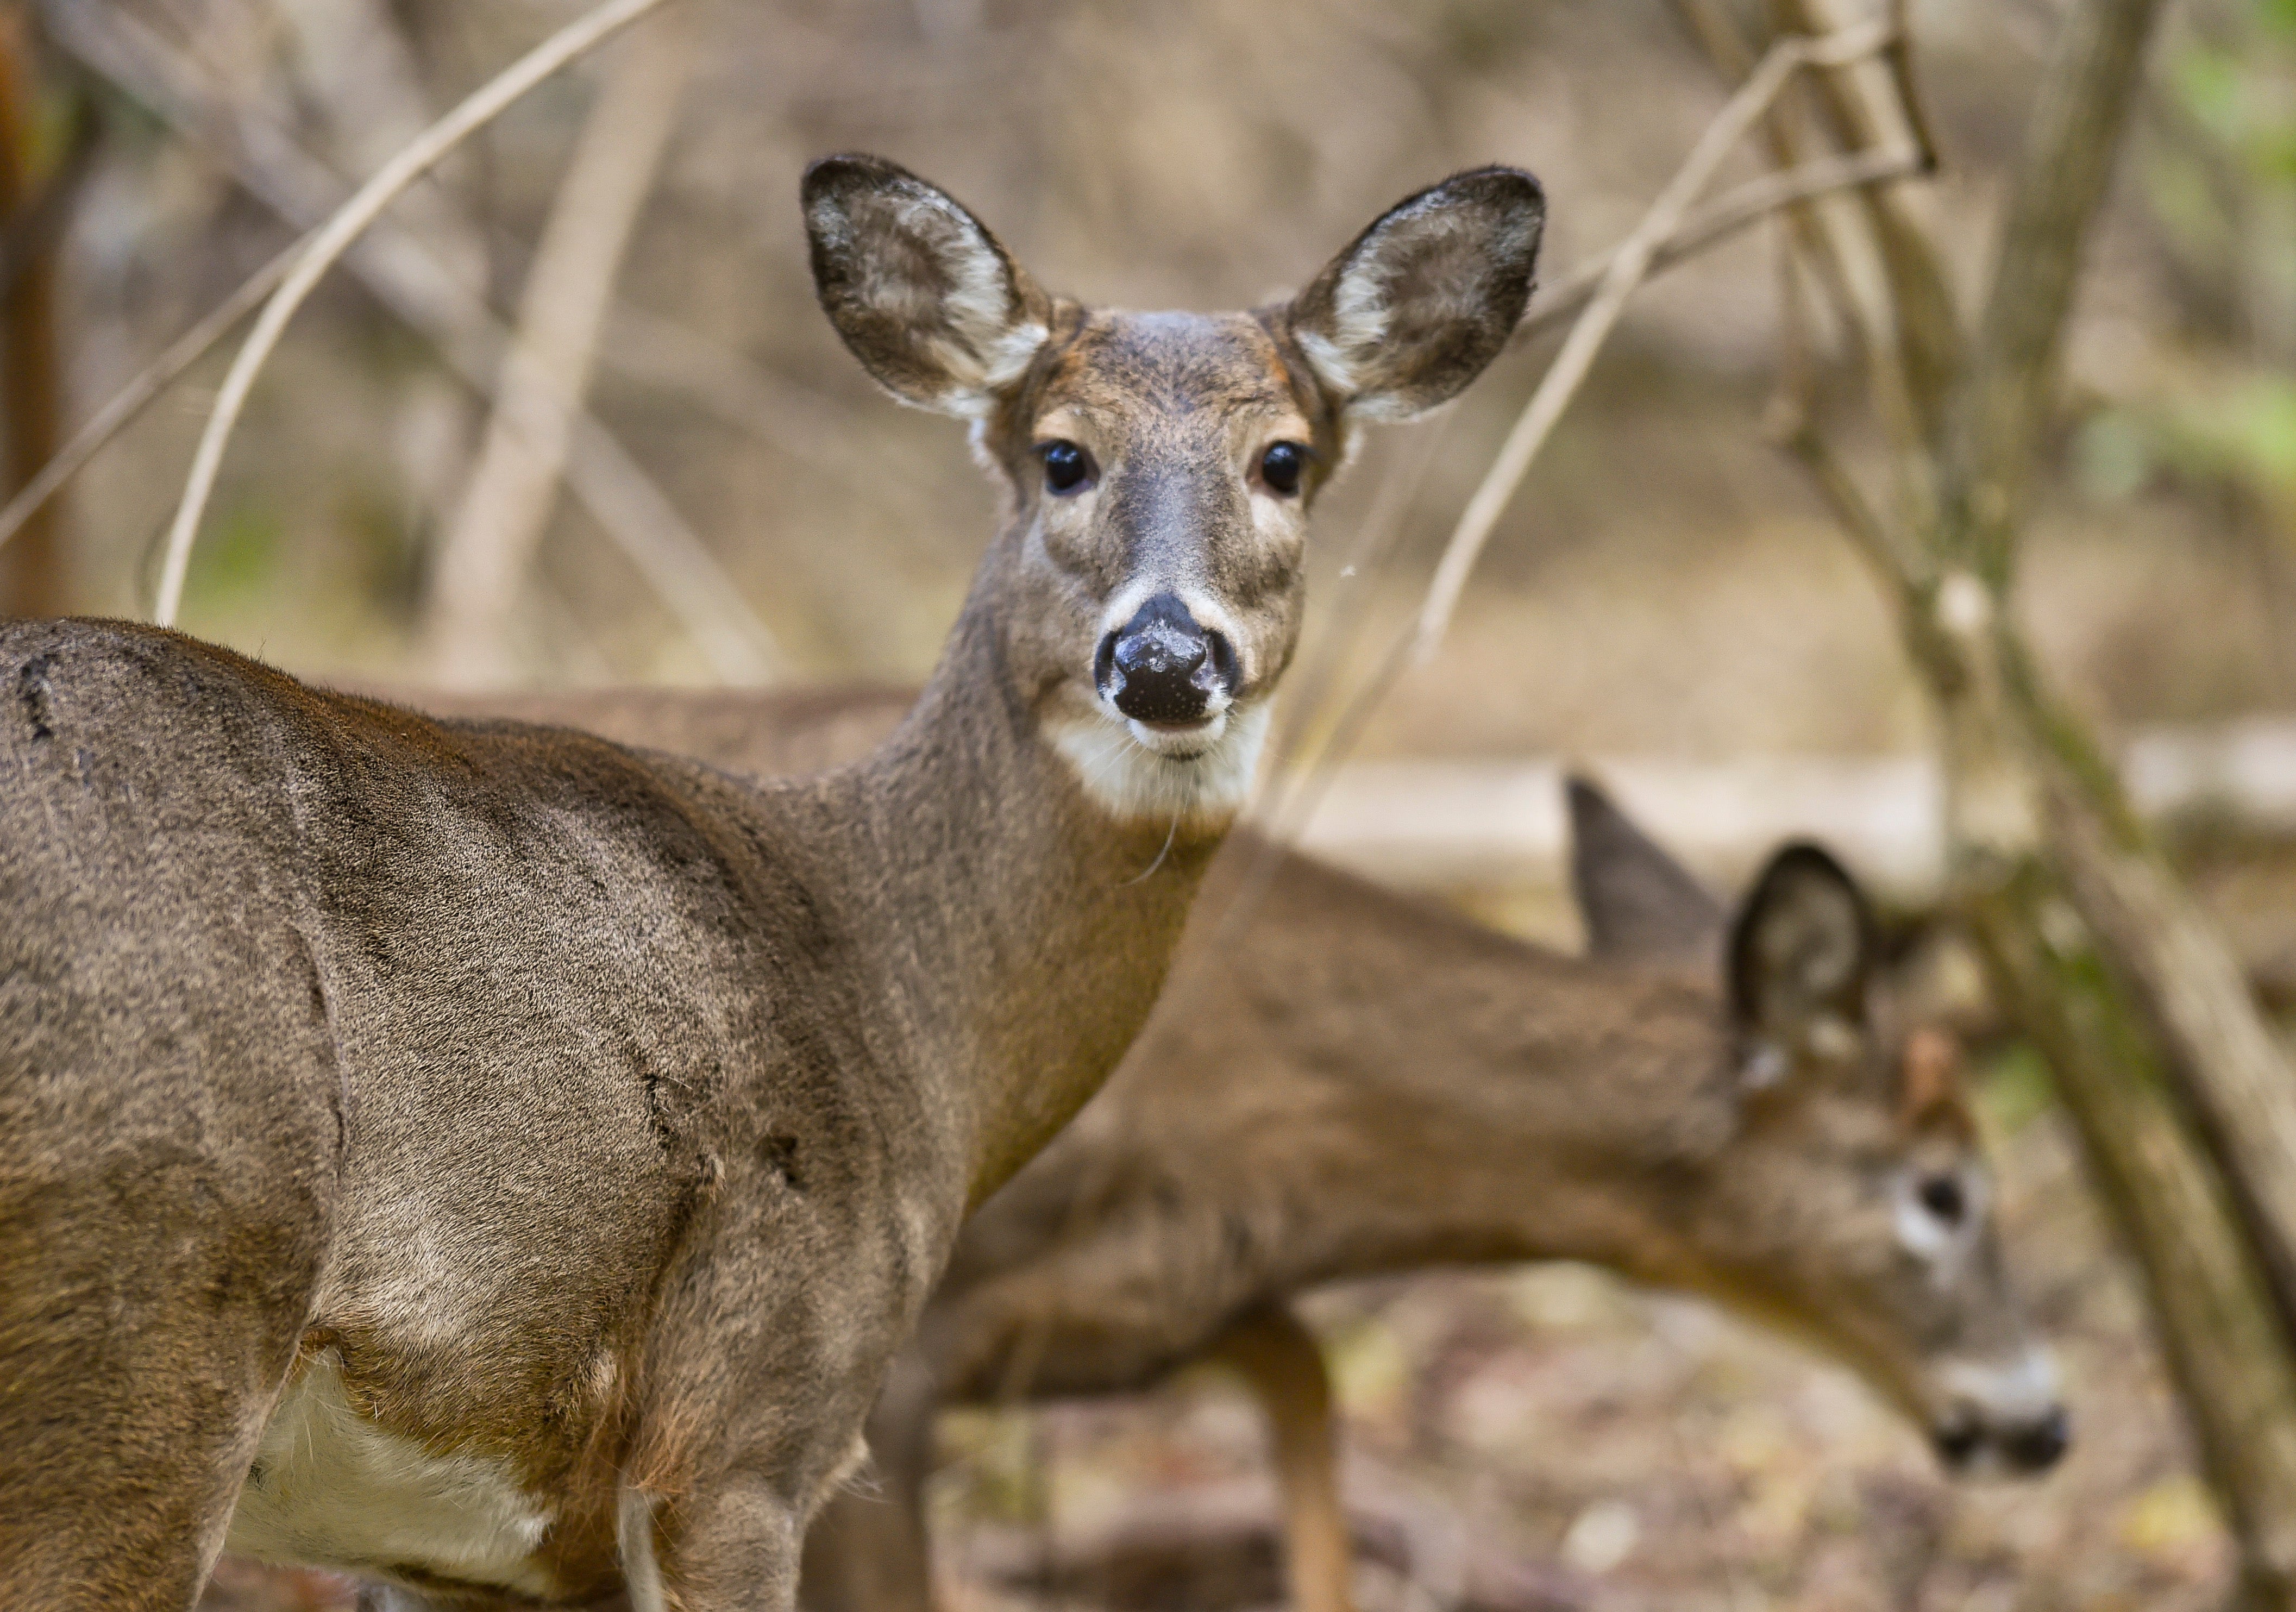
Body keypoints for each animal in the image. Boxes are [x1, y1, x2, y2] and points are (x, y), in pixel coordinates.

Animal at [0, 155, 1552, 1612]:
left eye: (1284, 458)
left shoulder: (464, 1548)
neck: (893, 986)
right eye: (1061, 455)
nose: (1165, 657)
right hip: (150, 1326)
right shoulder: (749, 1420)